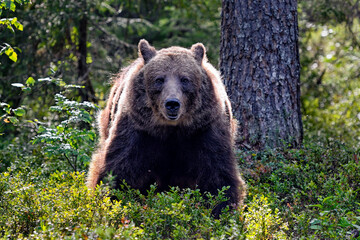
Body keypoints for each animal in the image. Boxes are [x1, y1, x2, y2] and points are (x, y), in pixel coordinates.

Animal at [87, 39, 246, 216]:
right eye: (159, 79)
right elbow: (118, 169)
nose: (172, 104)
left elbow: (218, 175)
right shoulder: (138, 130)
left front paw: (221, 209)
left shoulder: (205, 129)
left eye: (185, 79)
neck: (172, 130)